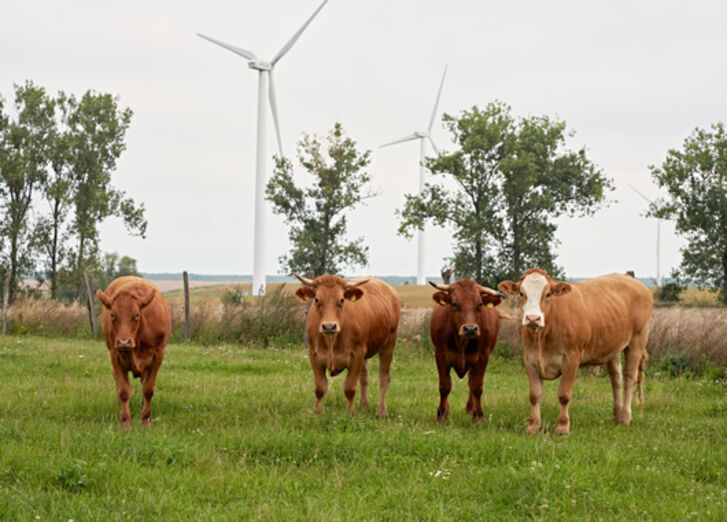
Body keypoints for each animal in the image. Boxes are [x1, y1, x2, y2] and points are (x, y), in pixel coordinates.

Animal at [96, 276, 172, 426]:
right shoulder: (115, 355)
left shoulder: (158, 355)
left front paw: (146, 419)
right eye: (112, 315)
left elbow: (148, 389)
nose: (124, 342)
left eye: (136, 315)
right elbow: (124, 391)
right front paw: (125, 422)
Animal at [292, 272, 400, 414]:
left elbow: (349, 388)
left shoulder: (357, 354)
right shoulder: (313, 354)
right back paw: (363, 405)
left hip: (389, 341)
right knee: (364, 376)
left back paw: (381, 411)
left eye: (342, 300)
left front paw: (350, 413)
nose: (329, 326)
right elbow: (320, 388)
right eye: (316, 299)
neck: (331, 341)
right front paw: (319, 412)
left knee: (384, 377)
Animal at [432, 278, 506, 420]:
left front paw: (478, 416)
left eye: (480, 304)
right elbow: (444, 386)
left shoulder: (482, 357)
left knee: (471, 383)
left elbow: (476, 387)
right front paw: (442, 415)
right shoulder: (440, 355)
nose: (470, 329)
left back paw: (470, 408)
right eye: (454, 303)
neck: (461, 342)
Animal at [500, 268, 656, 434]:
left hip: (637, 340)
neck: (542, 337)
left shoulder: (571, 358)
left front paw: (562, 427)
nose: (533, 318)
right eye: (521, 293)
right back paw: (616, 416)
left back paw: (625, 418)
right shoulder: (529, 358)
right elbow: (535, 395)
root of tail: (628, 278)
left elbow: (564, 394)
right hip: (612, 347)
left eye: (548, 294)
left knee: (629, 378)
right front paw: (532, 427)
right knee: (616, 379)